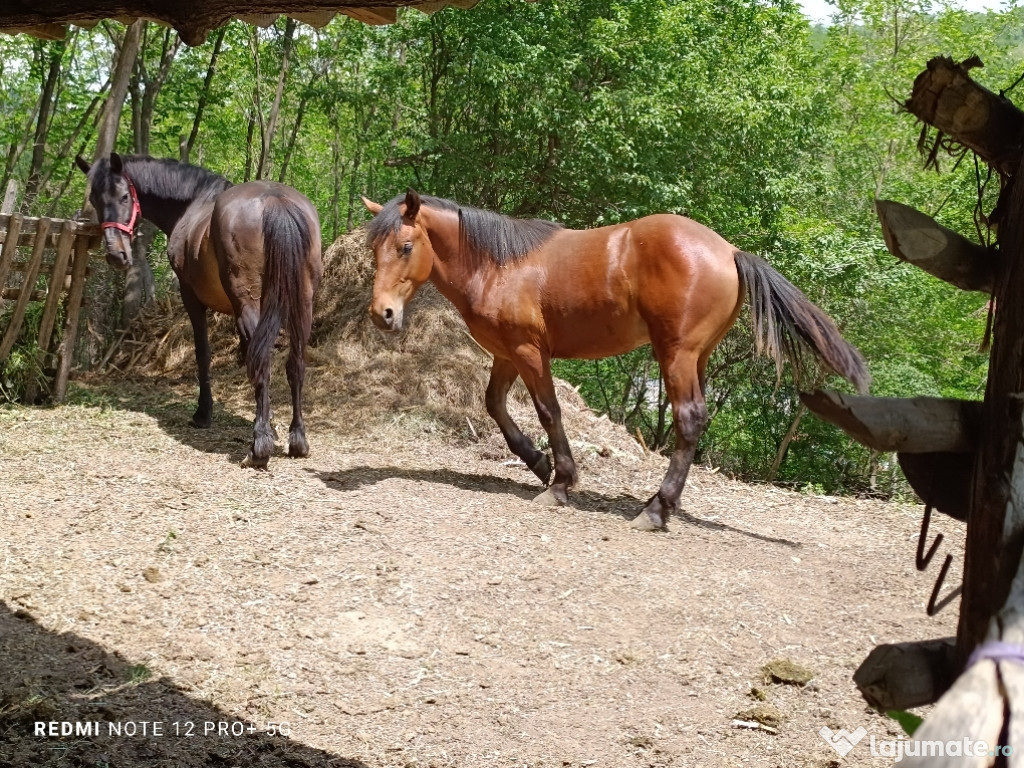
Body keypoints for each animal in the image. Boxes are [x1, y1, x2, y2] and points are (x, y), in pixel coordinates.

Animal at [77, 151, 321, 468]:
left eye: (123, 196)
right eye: (94, 200)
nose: (116, 255)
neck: (192, 204)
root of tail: (275, 200)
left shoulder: (191, 297)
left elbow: (204, 353)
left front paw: (205, 413)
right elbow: (250, 356)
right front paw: (267, 421)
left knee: (266, 361)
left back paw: (259, 448)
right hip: (302, 304)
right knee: (296, 363)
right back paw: (297, 439)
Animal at [364, 190, 868, 532]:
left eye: (405, 246)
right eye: (374, 249)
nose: (381, 314)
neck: (499, 265)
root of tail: (728, 250)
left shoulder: (530, 352)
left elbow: (549, 410)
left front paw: (560, 483)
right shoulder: (508, 354)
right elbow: (495, 406)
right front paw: (540, 465)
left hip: (676, 355)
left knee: (688, 419)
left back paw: (655, 510)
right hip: (698, 358)